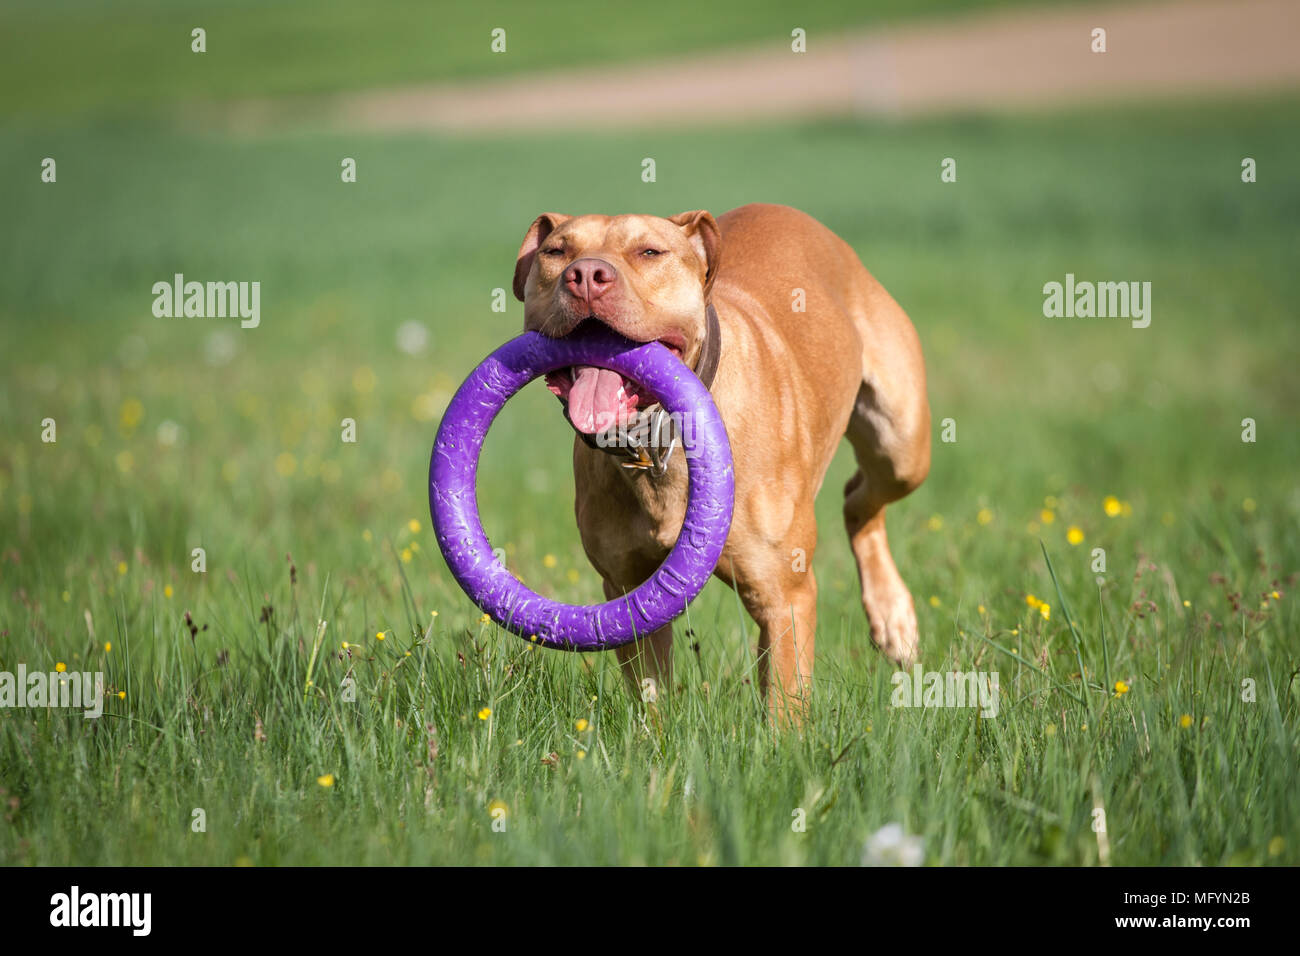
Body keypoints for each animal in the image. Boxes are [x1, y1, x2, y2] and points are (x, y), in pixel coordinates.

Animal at [512, 204, 930, 723]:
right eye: (556, 252)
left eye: (649, 252)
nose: (586, 275)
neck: (660, 442)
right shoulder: (628, 590)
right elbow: (650, 691)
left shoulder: (783, 596)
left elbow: (785, 701)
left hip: (901, 442)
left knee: (862, 497)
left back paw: (894, 618)